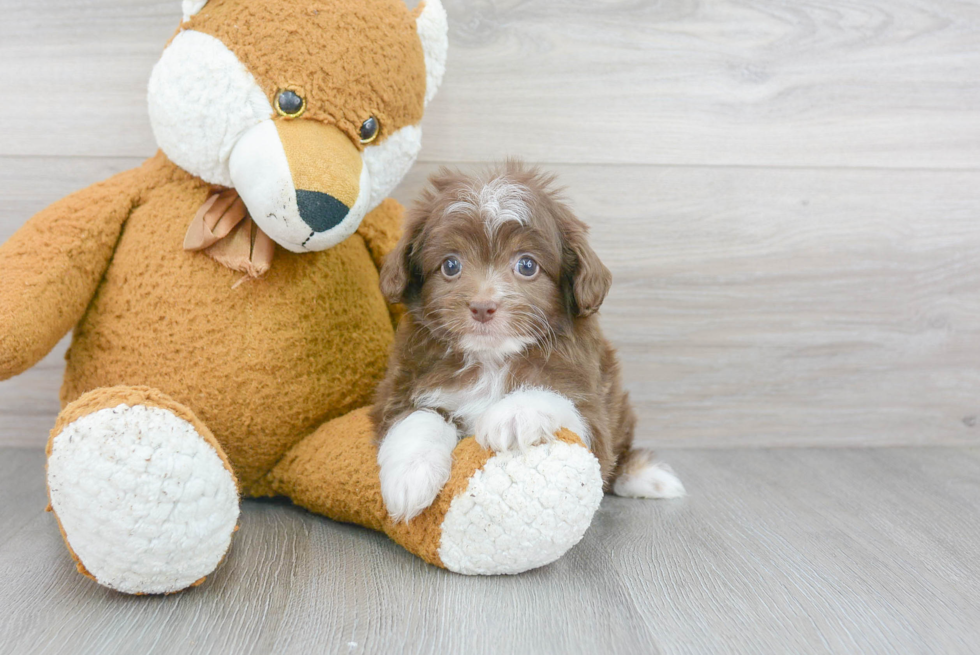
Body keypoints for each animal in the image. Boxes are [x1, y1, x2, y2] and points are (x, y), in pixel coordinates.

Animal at [372, 163, 684, 524]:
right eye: (450, 265)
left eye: (527, 265)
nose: (482, 306)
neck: (492, 358)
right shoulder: (402, 387)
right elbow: (418, 417)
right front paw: (410, 475)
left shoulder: (591, 411)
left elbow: (557, 399)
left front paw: (514, 415)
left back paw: (645, 476)